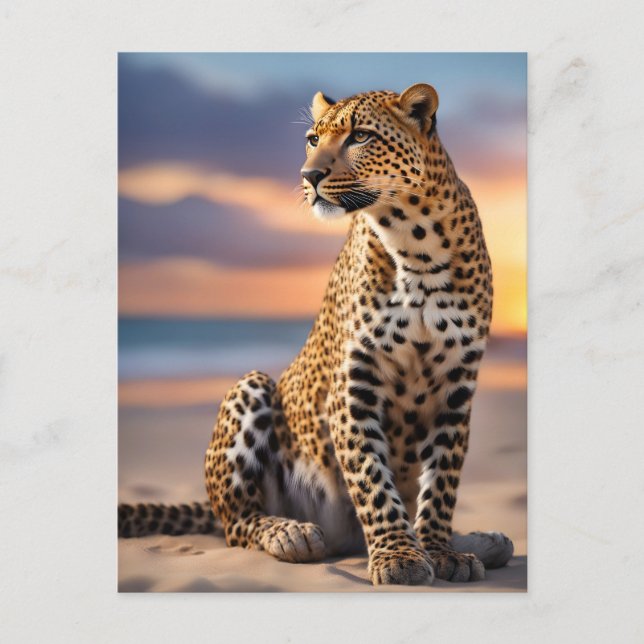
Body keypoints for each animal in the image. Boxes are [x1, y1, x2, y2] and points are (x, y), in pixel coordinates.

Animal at [118, 84, 514, 586]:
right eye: (312, 139)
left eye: (360, 136)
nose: (309, 176)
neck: (416, 244)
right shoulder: (352, 387)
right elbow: (372, 480)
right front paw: (400, 556)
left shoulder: (456, 390)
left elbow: (441, 484)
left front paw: (440, 549)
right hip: (251, 389)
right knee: (237, 523)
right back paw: (290, 532)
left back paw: (486, 540)